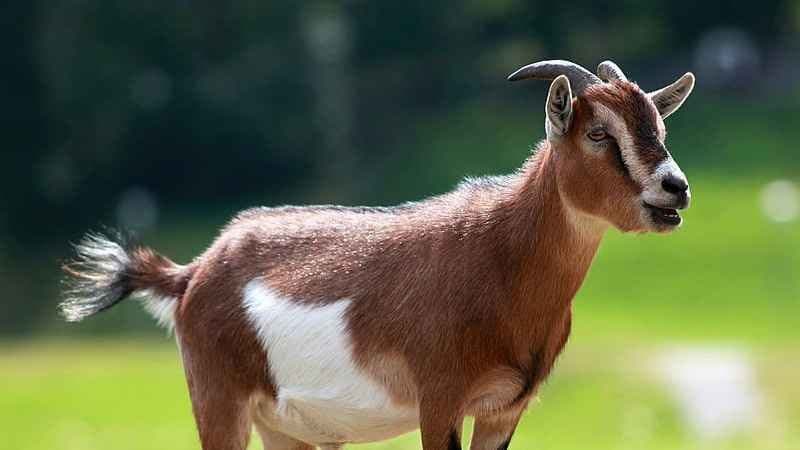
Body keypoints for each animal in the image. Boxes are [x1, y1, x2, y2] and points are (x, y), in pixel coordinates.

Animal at [60, 59, 695, 450]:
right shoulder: (439, 400)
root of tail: (193, 272)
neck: (500, 258)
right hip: (219, 400)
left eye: (659, 127)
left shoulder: (504, 409)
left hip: (285, 429)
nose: (675, 188)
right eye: (597, 133)